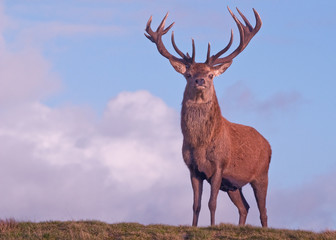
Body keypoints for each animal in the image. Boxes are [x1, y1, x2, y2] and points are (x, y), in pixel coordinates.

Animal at [146, 6, 272, 228]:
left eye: (211, 75)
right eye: (188, 74)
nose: (200, 80)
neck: (200, 144)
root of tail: (268, 144)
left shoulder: (219, 166)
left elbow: (212, 203)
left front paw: (212, 226)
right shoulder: (193, 169)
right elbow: (196, 205)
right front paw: (194, 227)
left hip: (262, 173)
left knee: (263, 211)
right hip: (233, 185)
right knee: (245, 207)